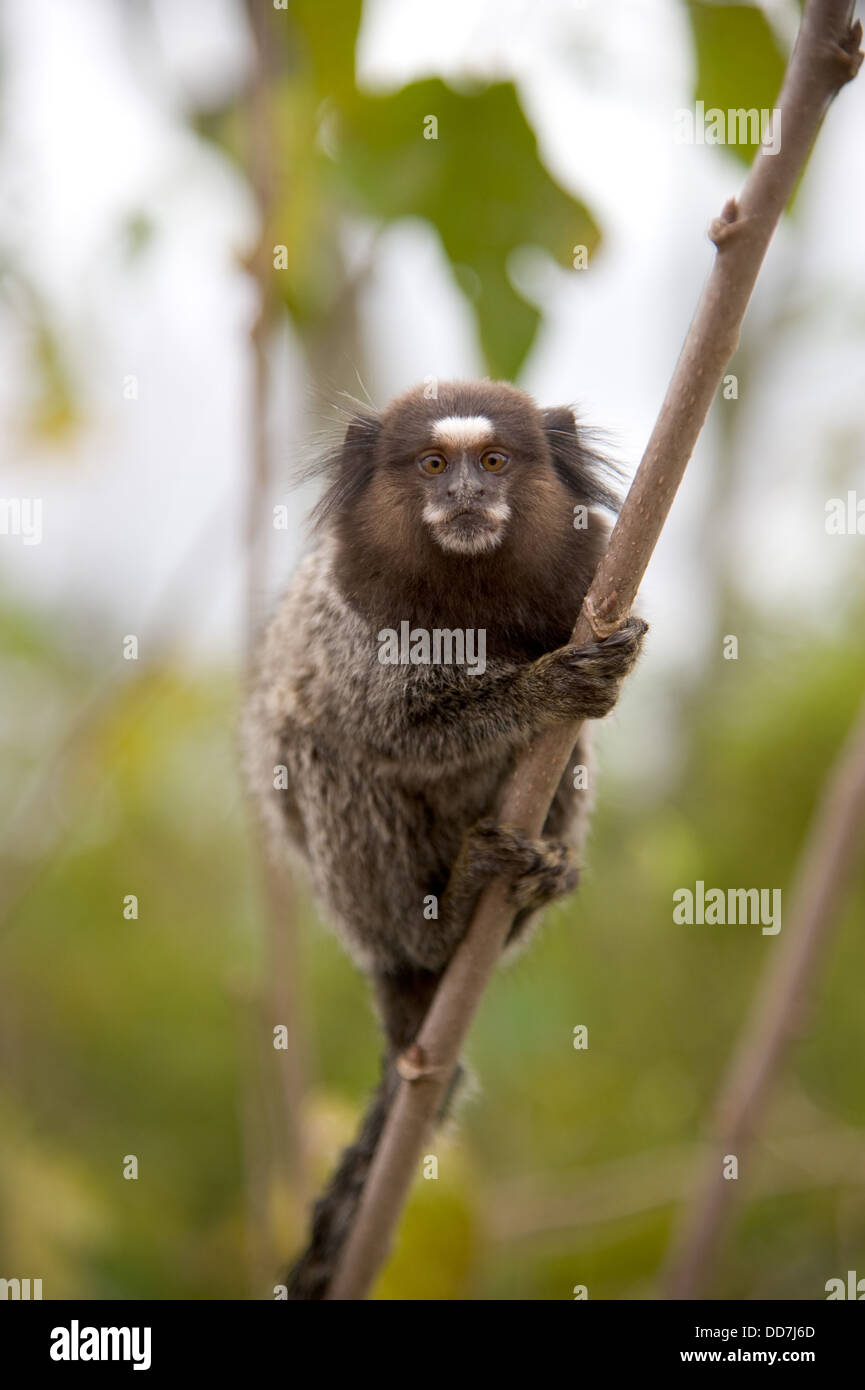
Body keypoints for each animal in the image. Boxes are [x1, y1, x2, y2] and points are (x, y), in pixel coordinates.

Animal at [240, 375, 648, 1295]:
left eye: (492, 461)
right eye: (432, 464)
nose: (463, 494)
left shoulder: (589, 576)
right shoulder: (358, 627)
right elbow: (397, 728)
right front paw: (539, 688)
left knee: (572, 764)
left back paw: (535, 885)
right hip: (359, 903)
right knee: (324, 749)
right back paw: (448, 916)